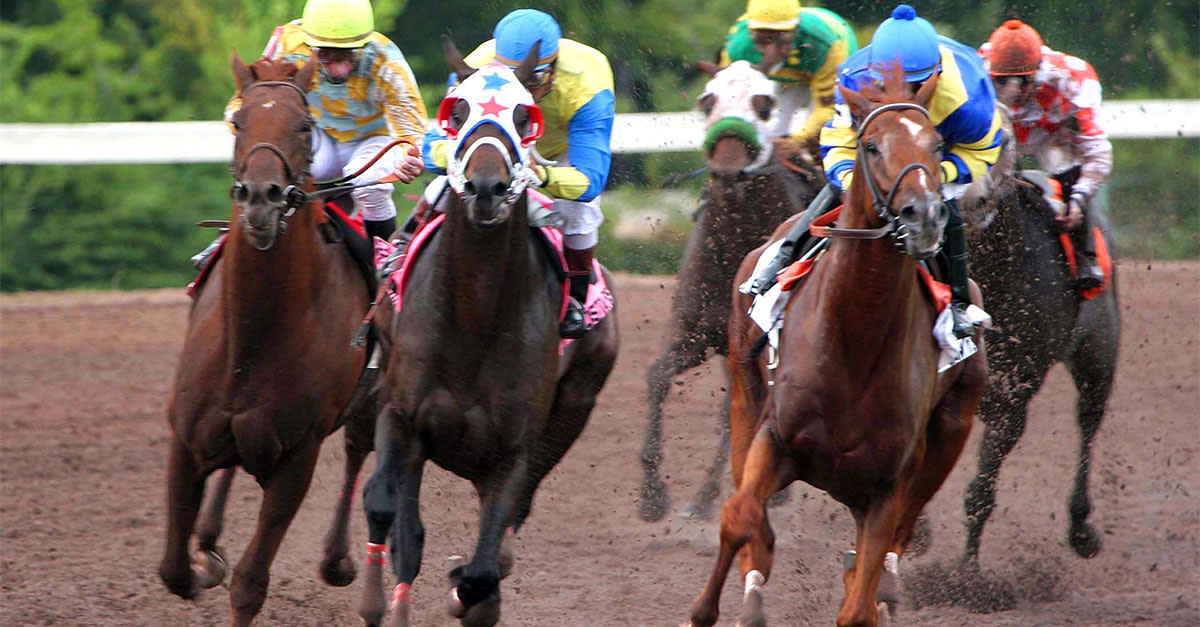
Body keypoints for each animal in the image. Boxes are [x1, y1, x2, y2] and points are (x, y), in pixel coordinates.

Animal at [158, 55, 377, 626]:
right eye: (238, 123)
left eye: (303, 126)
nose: (261, 198)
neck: (255, 337)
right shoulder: (185, 438)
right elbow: (173, 571)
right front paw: (201, 559)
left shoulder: (295, 458)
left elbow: (250, 583)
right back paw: (209, 540)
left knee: (358, 449)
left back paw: (338, 558)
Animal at [357, 41, 619, 627]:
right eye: (457, 111)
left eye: (524, 117)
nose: (485, 188)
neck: (473, 320)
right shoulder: (401, 414)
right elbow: (386, 505)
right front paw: (379, 600)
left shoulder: (513, 452)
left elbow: (482, 569)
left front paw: (466, 588)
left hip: (574, 409)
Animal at [638, 61, 818, 522]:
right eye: (707, 100)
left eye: (764, 102)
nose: (727, 170)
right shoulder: (694, 333)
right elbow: (657, 377)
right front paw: (652, 496)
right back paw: (703, 500)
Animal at [684, 67, 988, 627]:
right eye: (870, 145)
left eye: (936, 144)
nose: (923, 216)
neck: (854, 337)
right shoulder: (776, 437)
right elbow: (739, 516)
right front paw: (706, 609)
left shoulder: (888, 483)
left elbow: (861, 602)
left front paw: (871, 591)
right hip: (745, 395)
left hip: (950, 429)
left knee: (893, 544)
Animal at [957, 147, 1120, 572]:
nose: (972, 199)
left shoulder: (1011, 401)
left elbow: (980, 494)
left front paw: (965, 578)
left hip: (1097, 356)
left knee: (1088, 422)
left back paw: (1081, 528)